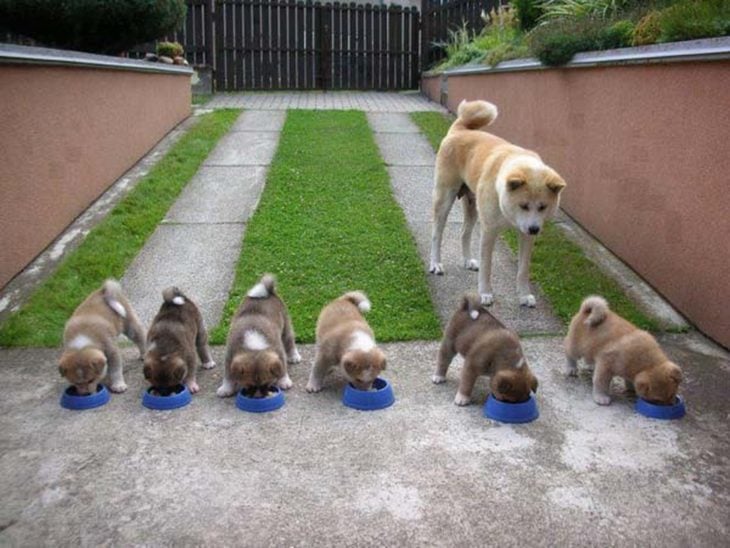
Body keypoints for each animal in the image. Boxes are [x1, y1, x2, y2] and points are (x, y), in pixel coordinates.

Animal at [430, 99, 564, 308]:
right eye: (523, 205)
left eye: (543, 207)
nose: (534, 229)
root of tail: (459, 129)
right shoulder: (489, 231)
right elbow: (487, 266)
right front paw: (485, 293)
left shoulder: (526, 237)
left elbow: (523, 269)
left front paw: (524, 295)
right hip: (444, 198)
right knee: (437, 233)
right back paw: (435, 264)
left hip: (472, 206)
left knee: (464, 233)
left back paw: (467, 260)